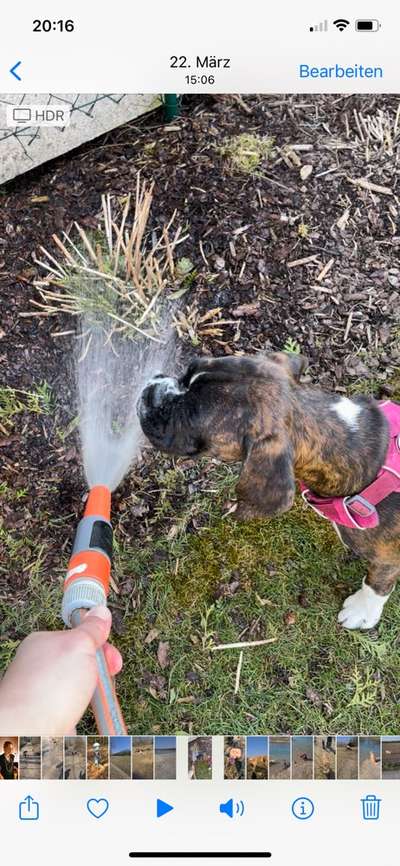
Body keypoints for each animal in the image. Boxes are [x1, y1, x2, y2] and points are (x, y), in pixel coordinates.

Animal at [138, 352, 400, 628]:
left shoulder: (388, 559)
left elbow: (377, 583)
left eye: (188, 417)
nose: (153, 391)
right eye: (188, 370)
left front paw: (363, 610)